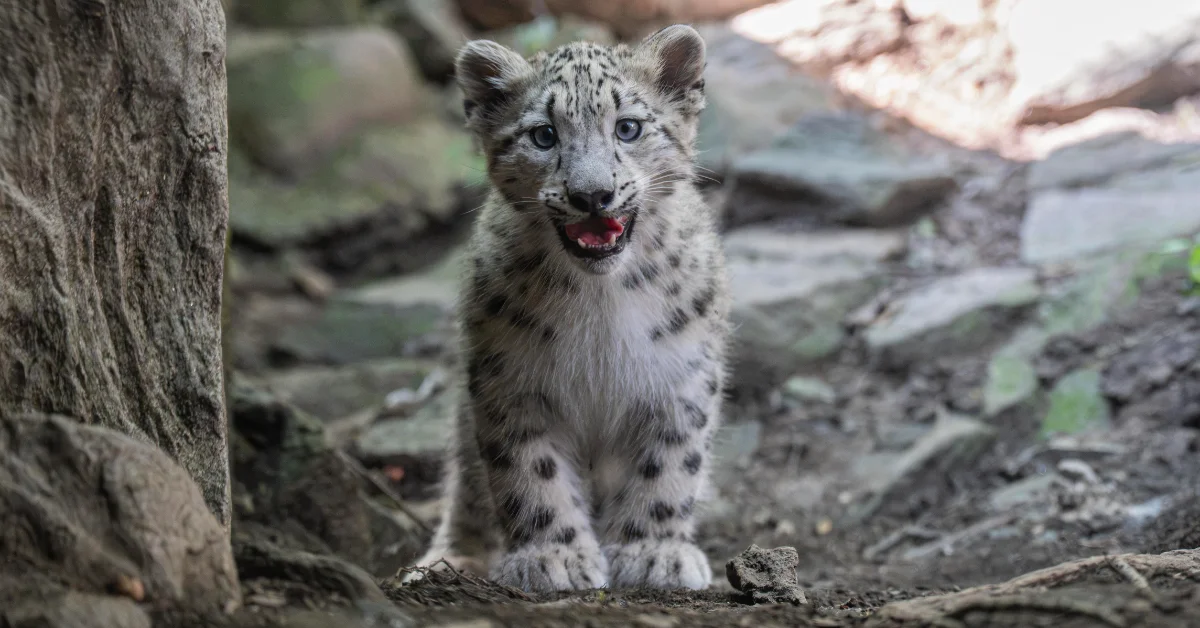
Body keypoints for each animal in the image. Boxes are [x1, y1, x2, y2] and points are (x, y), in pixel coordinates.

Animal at [406, 24, 732, 593]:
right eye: (543, 135)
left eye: (628, 127)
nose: (592, 194)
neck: (601, 304)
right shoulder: (510, 380)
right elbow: (529, 472)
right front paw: (553, 558)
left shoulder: (681, 375)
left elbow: (670, 465)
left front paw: (654, 552)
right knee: (465, 486)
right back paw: (450, 560)